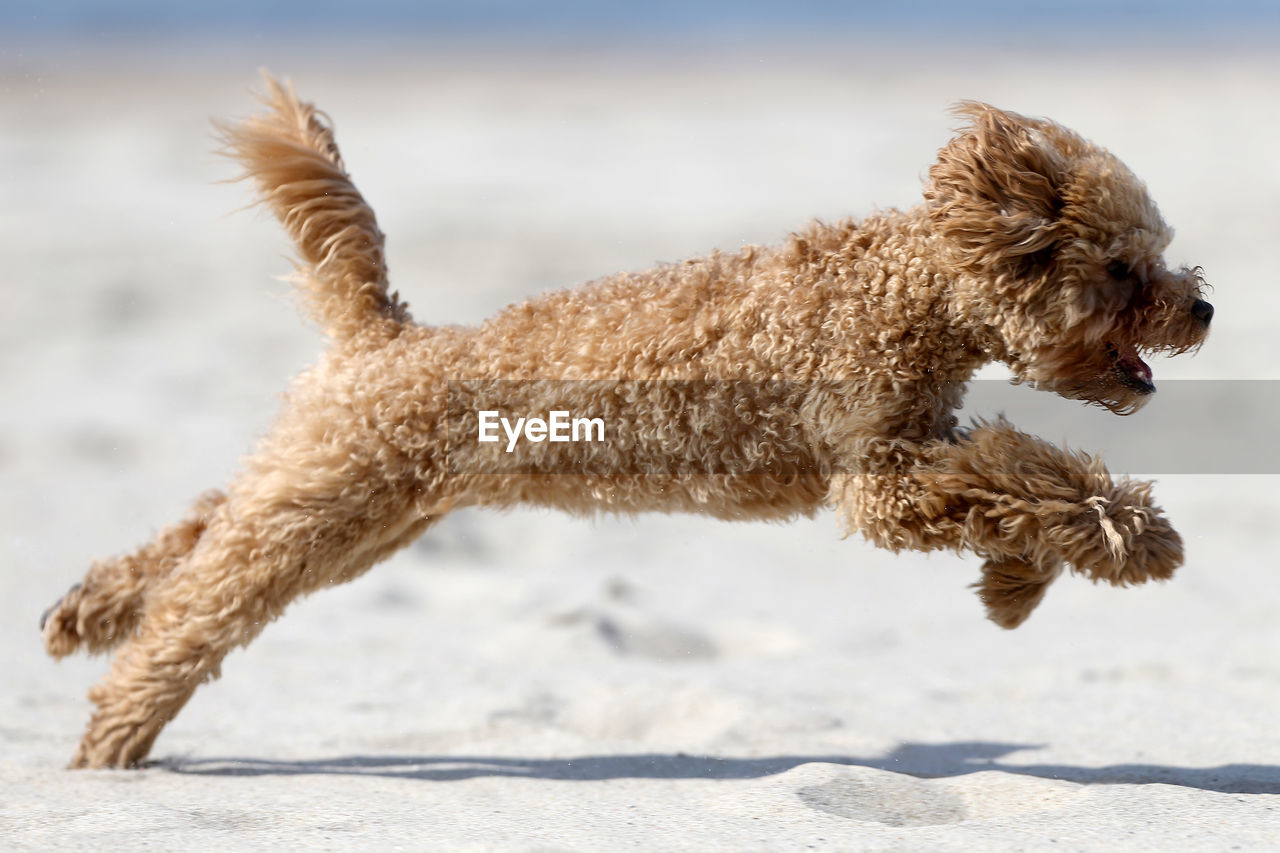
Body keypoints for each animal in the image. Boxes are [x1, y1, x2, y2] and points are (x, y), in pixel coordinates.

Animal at [42, 78, 1208, 763]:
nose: (1198, 308)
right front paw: (1134, 537)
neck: (904, 290)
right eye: (1121, 268)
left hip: (352, 509)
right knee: (199, 608)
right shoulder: (875, 472)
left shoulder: (912, 449)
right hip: (331, 507)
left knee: (199, 538)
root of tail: (387, 334)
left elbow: (1016, 478)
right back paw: (114, 726)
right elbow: (1028, 473)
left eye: (1157, 259)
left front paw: (1017, 584)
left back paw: (88, 612)